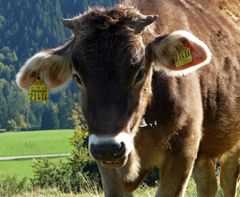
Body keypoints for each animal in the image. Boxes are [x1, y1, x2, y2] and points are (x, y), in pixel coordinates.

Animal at [15, 0, 239, 196]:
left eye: (140, 73)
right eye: (77, 77)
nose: (108, 147)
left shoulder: (183, 150)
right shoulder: (107, 164)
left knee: (228, 177)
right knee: (208, 182)